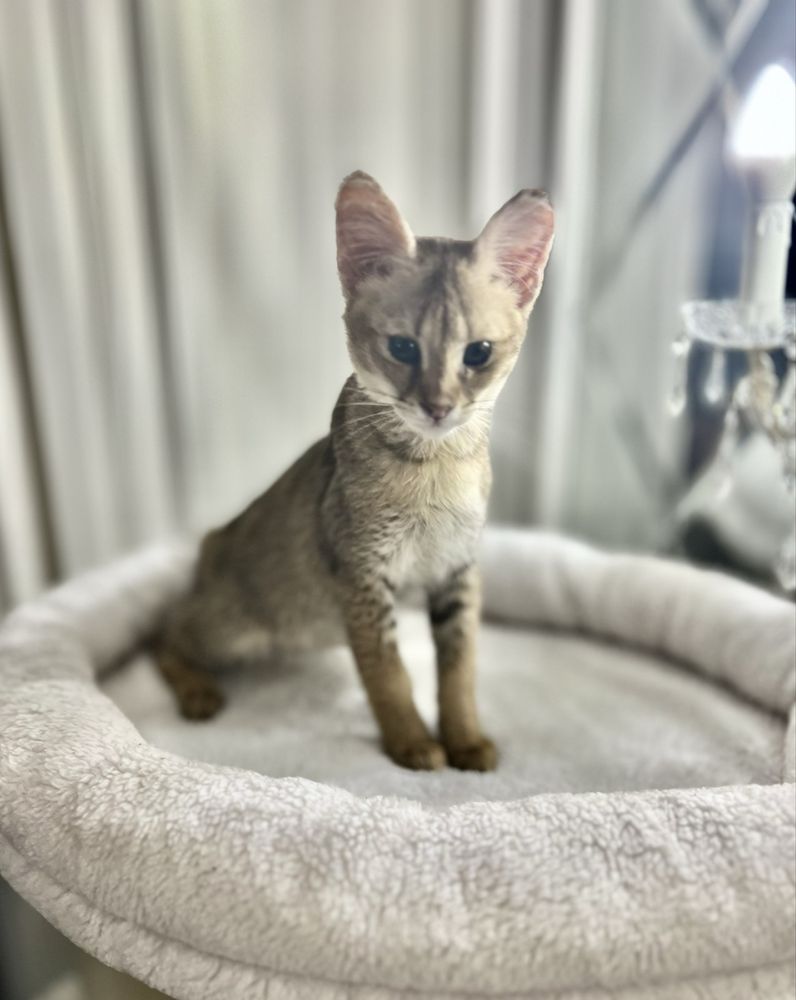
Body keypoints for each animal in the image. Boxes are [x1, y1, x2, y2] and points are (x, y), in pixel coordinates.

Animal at [156, 171, 554, 771]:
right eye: (403, 347)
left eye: (478, 353)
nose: (438, 407)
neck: (435, 469)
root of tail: (212, 543)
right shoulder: (363, 576)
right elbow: (388, 673)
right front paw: (413, 743)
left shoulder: (458, 573)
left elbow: (459, 670)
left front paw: (465, 740)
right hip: (234, 626)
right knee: (164, 632)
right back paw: (198, 691)